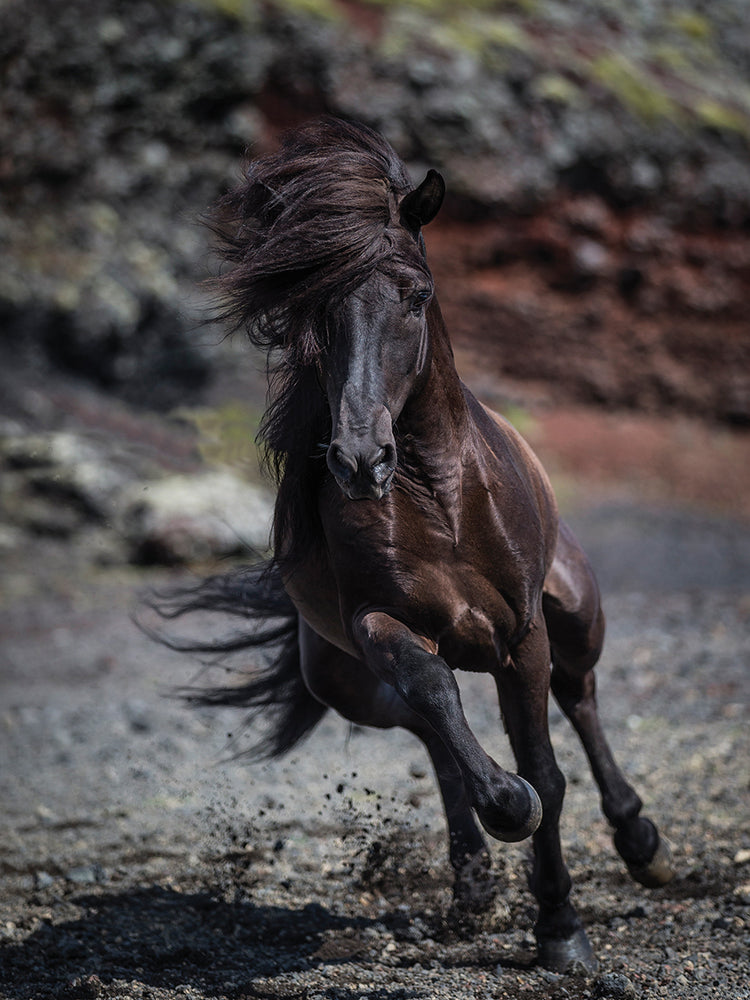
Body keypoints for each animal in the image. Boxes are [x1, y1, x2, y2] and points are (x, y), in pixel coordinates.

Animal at [152, 117, 673, 973]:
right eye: (313, 307)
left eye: (417, 296)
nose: (361, 460)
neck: (441, 501)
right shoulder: (382, 626)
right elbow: (447, 710)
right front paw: (507, 815)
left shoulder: (520, 635)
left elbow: (547, 767)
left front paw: (561, 928)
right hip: (348, 685)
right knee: (430, 726)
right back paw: (473, 883)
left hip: (574, 612)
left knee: (581, 694)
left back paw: (641, 843)